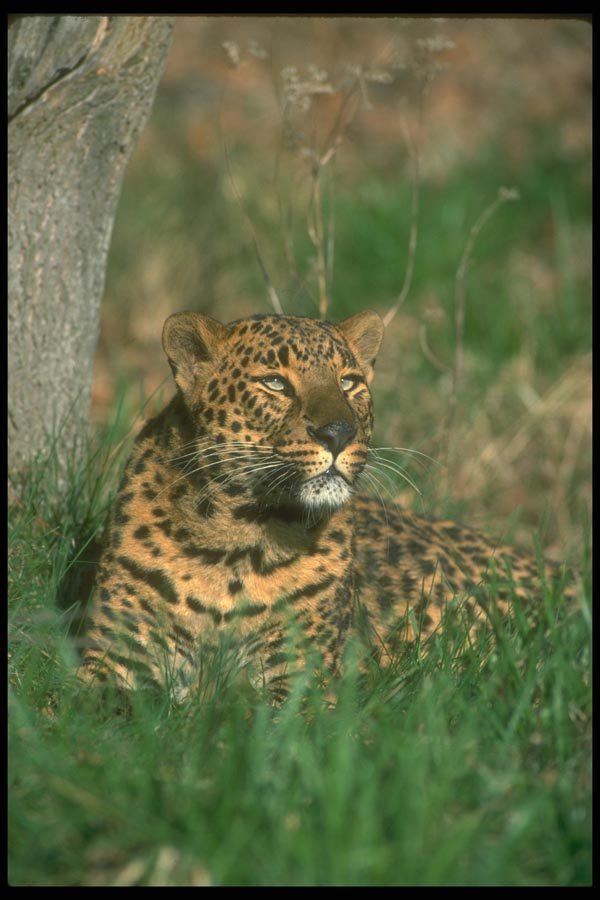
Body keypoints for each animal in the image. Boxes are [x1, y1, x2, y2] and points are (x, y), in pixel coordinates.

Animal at [79, 310, 575, 700]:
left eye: (349, 382)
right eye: (275, 383)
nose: (339, 433)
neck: (234, 538)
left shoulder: (300, 674)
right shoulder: (116, 655)